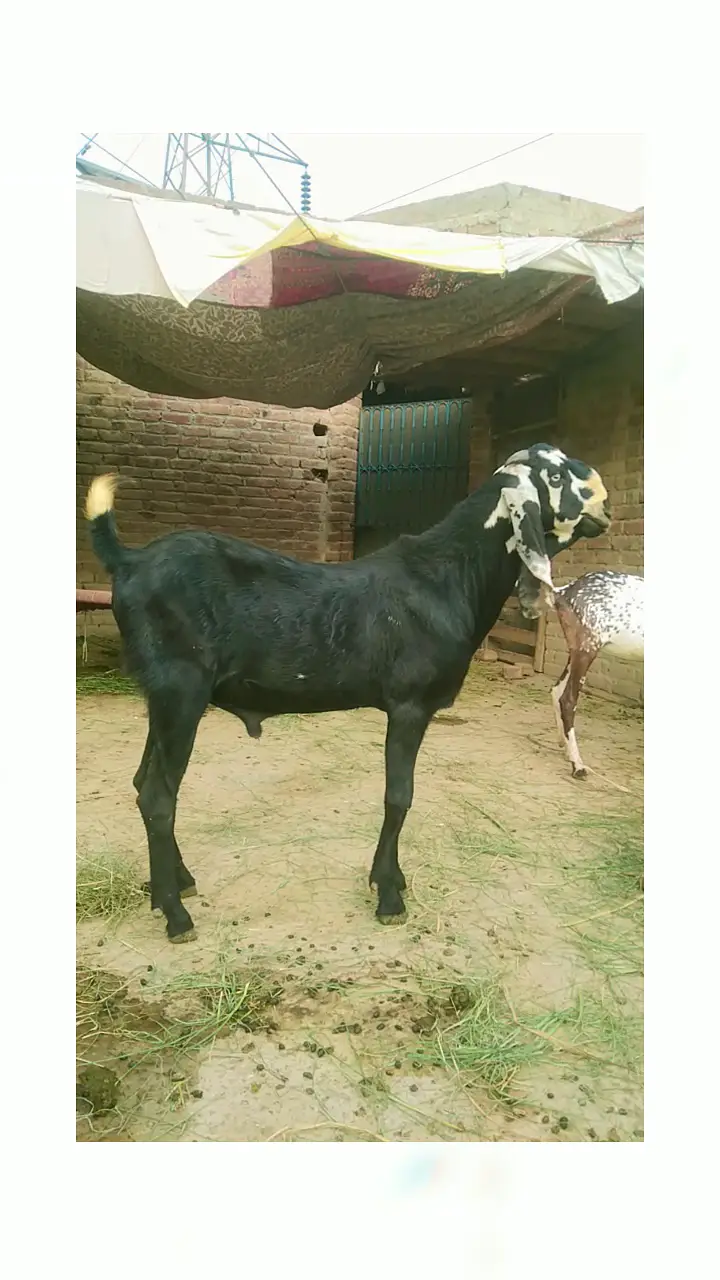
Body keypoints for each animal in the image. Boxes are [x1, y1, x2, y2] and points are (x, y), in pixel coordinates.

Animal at [85, 443, 611, 943]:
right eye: (556, 475)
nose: (605, 506)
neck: (447, 577)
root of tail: (129, 561)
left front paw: (389, 880)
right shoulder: (409, 705)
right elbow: (399, 796)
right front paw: (390, 895)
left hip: (162, 697)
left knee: (143, 784)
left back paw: (173, 886)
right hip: (181, 690)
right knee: (158, 797)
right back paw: (177, 915)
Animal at [552, 571, 644, 779]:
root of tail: (564, 591)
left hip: (577, 649)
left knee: (556, 689)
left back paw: (564, 747)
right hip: (587, 647)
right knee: (567, 700)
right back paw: (578, 766)